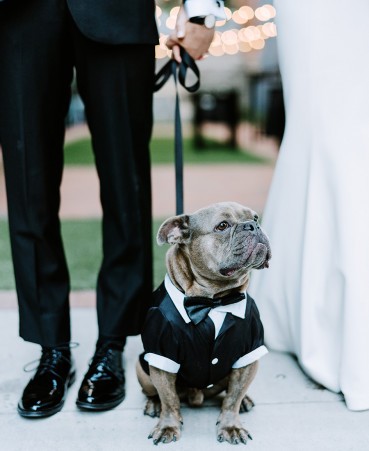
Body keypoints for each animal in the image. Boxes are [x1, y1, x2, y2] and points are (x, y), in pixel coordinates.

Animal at [135, 204, 270, 444]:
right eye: (222, 226)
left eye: (254, 218)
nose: (253, 225)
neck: (214, 300)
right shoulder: (162, 355)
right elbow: (169, 400)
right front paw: (167, 426)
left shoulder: (249, 356)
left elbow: (233, 398)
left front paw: (231, 425)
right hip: (141, 367)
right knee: (155, 393)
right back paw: (154, 404)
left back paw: (245, 401)